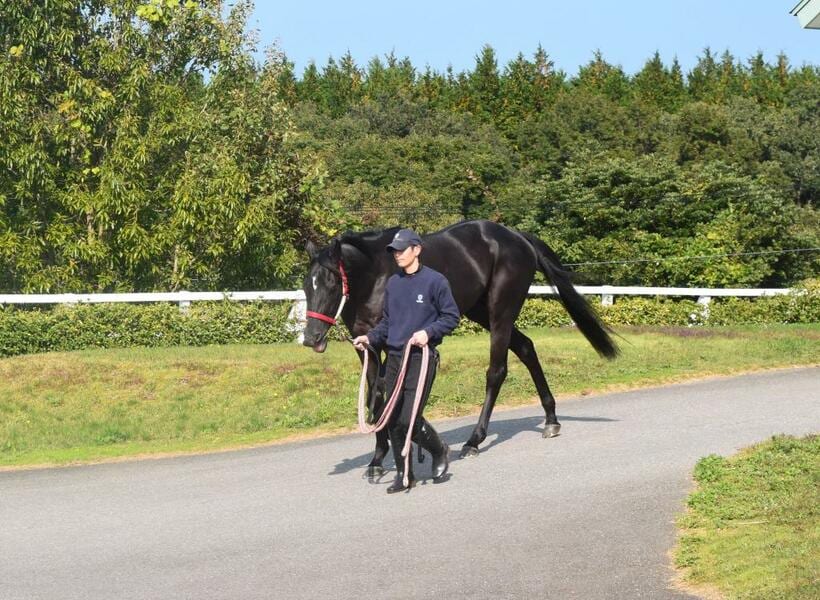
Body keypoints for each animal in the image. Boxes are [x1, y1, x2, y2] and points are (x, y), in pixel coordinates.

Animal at [302, 218, 616, 476]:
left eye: (331, 283)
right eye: (307, 285)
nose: (311, 338)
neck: (376, 274)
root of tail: (518, 237)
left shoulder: (396, 343)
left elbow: (394, 391)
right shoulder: (365, 345)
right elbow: (376, 394)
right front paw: (378, 460)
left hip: (500, 312)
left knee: (496, 371)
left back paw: (474, 441)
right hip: (480, 311)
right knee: (526, 348)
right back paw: (551, 419)